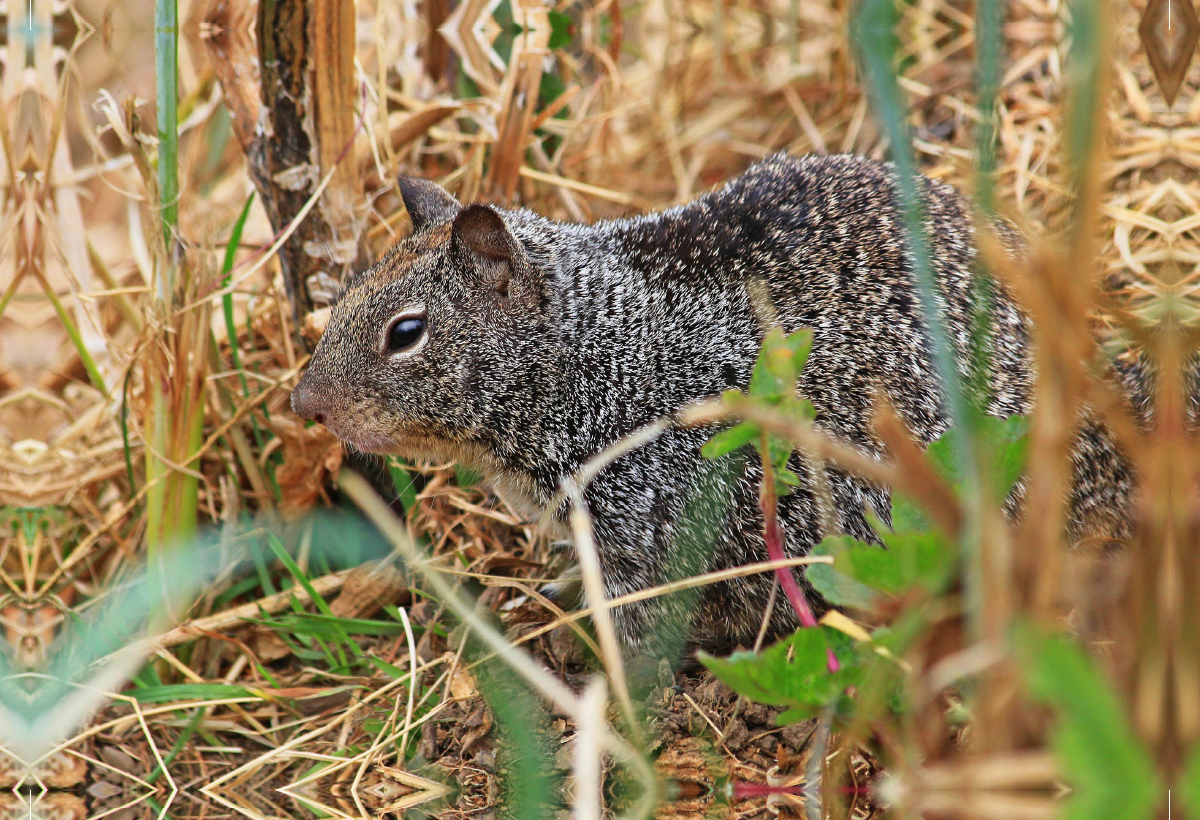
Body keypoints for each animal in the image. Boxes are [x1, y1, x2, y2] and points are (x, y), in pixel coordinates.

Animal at [290, 153, 1142, 662]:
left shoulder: (649, 535)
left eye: (405, 333)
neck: (601, 352)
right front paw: (561, 594)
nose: (304, 402)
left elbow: (638, 630)